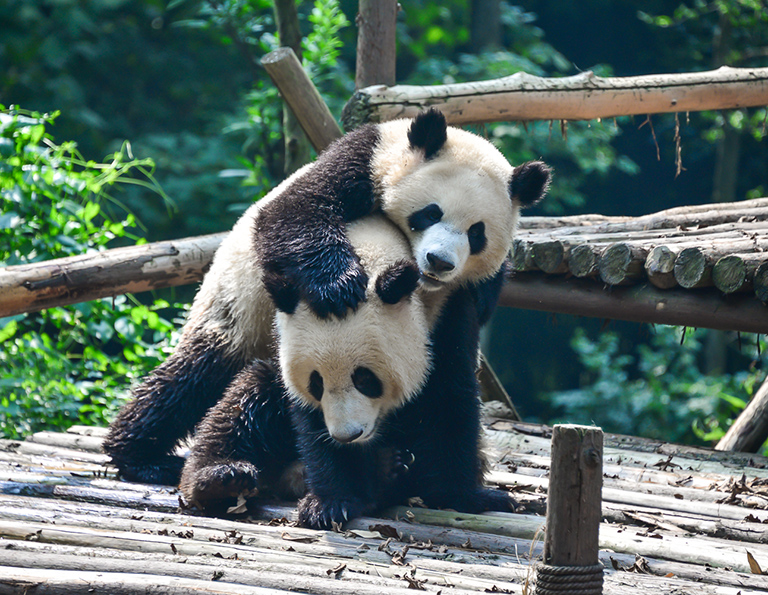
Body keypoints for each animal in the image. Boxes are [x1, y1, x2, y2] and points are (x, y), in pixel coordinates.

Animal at [180, 217, 516, 528]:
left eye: (366, 379)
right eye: (316, 383)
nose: (348, 435)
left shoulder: (448, 314)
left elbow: (449, 401)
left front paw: (469, 497)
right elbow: (306, 418)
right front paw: (331, 503)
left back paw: (387, 471)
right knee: (243, 407)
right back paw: (222, 478)